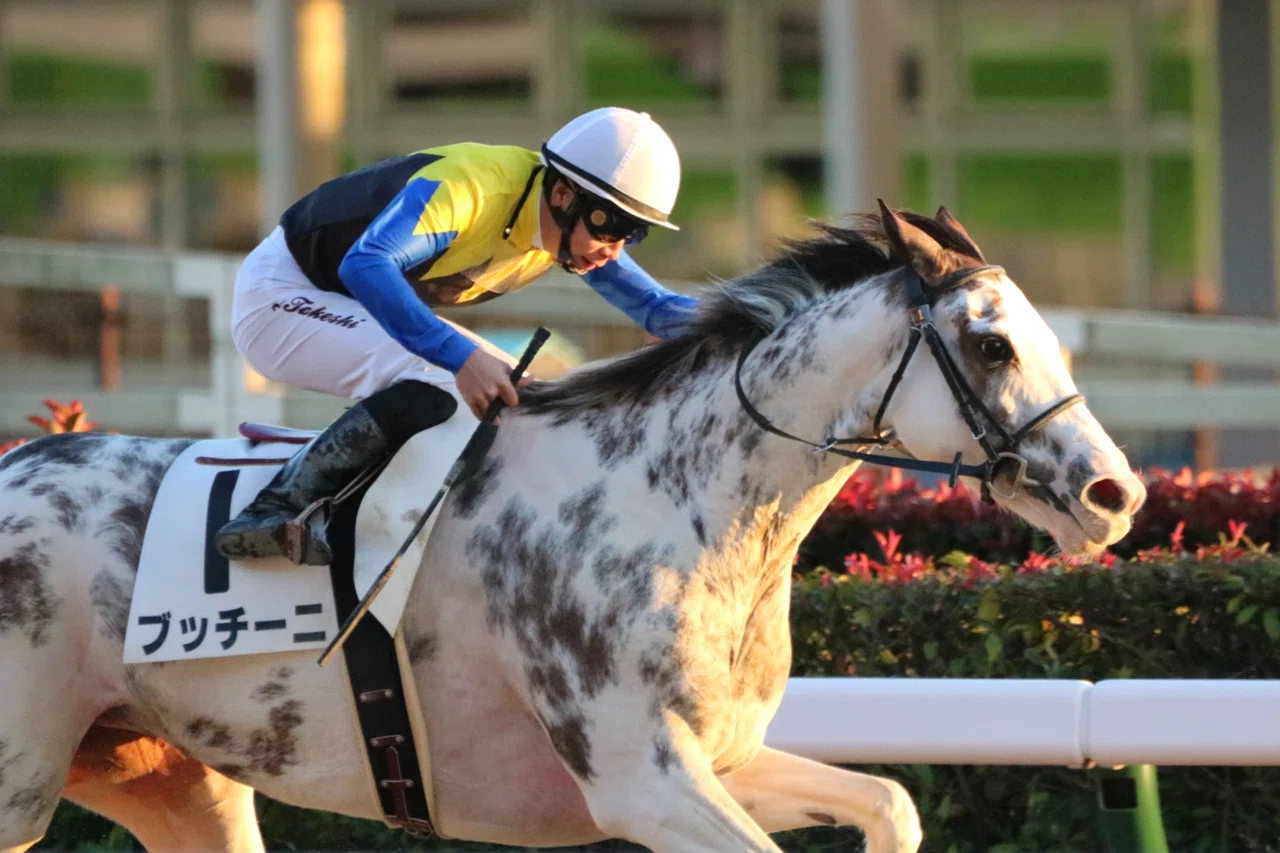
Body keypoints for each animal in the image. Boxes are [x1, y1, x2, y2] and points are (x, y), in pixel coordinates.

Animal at [0, 203, 1145, 853]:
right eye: (991, 345)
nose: (1113, 493)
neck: (673, 502)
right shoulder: (638, 779)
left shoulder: (717, 760)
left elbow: (890, 804)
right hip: (23, 776)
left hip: (172, 783)